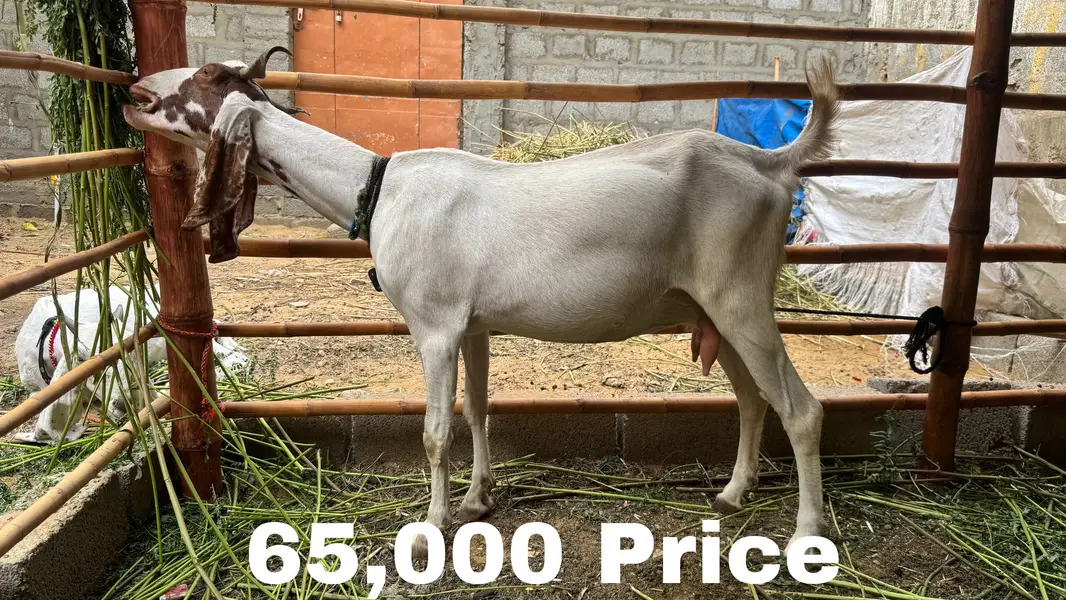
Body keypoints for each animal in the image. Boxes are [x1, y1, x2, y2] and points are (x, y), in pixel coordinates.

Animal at [124, 47, 839, 554]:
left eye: (207, 77)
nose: (135, 92)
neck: (378, 188)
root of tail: (773, 164)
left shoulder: (434, 326)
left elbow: (436, 431)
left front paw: (431, 525)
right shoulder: (472, 325)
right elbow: (477, 410)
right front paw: (476, 502)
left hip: (741, 295)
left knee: (801, 409)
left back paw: (806, 534)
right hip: (716, 306)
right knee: (754, 399)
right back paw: (732, 494)